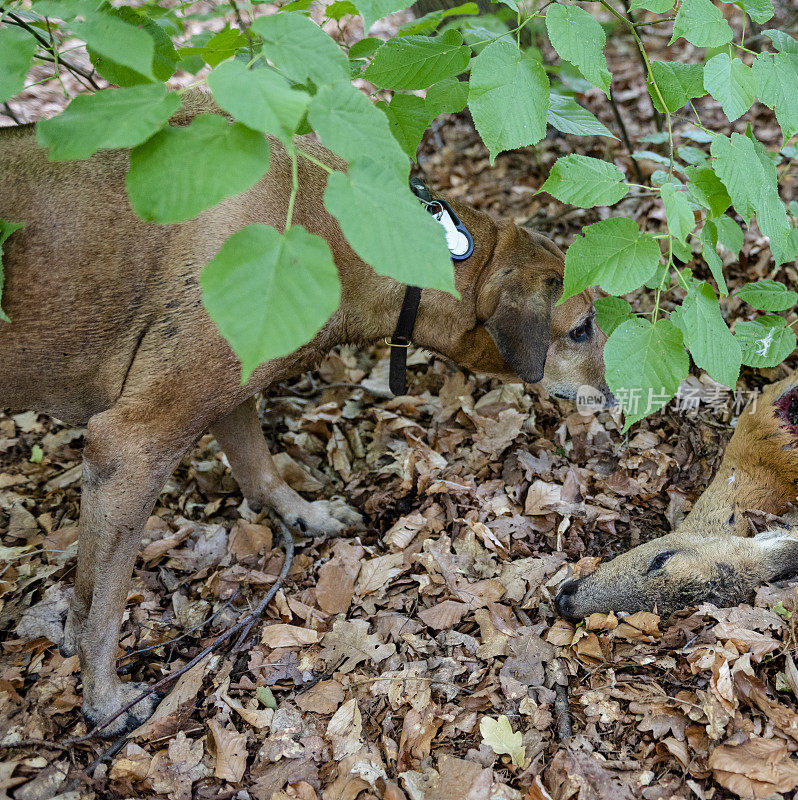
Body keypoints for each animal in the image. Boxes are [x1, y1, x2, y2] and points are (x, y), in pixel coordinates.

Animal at [0, 94, 608, 732]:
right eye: (582, 329)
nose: (616, 395)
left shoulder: (231, 386)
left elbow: (255, 472)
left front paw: (306, 515)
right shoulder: (131, 443)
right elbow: (107, 600)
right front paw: (102, 697)